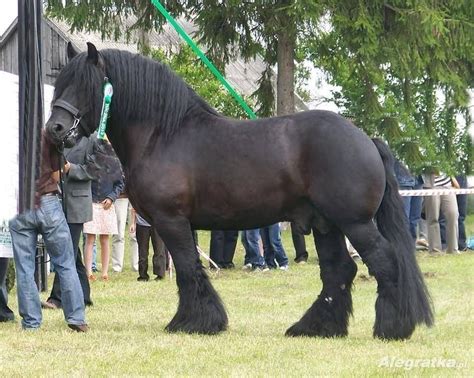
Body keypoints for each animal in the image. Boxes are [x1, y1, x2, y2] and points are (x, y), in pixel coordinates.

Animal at [45, 43, 434, 340]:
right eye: (60, 81)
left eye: (85, 85)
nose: (55, 129)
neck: (163, 134)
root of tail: (365, 138)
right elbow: (188, 269)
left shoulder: (172, 221)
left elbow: (187, 268)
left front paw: (194, 322)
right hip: (327, 225)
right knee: (339, 271)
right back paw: (315, 328)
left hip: (355, 223)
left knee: (384, 262)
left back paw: (392, 328)